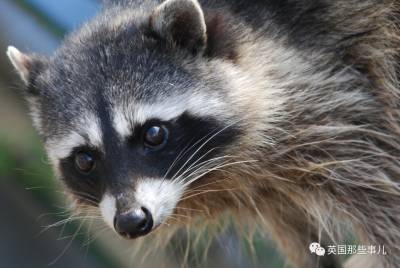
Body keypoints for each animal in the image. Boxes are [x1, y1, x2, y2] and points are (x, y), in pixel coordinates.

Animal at [5, 0, 400, 266]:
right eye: (85, 160)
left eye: (153, 134)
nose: (131, 221)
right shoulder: (268, 186)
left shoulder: (331, 97)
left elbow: (383, 195)